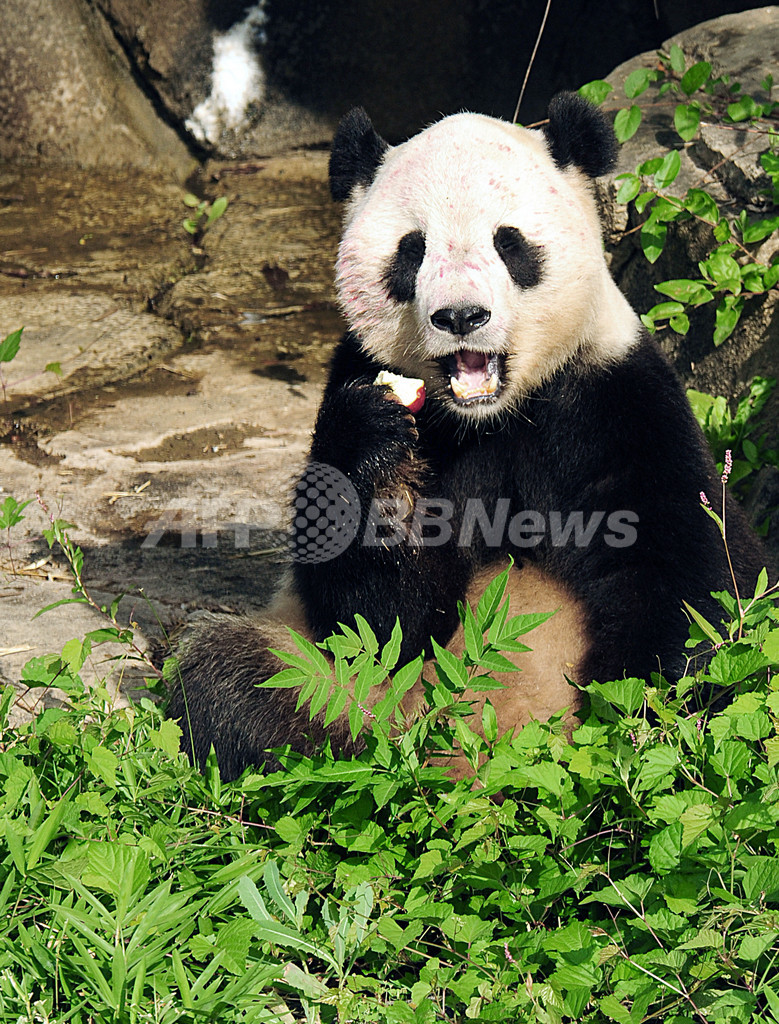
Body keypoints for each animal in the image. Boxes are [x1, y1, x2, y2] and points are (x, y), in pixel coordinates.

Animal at [168, 92, 764, 781]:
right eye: (411, 250)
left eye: (509, 243)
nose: (460, 316)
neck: (492, 416)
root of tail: (476, 761)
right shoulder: (363, 376)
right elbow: (378, 622)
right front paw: (376, 450)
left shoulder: (614, 397)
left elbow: (689, 573)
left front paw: (634, 725)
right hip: (355, 698)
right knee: (235, 678)